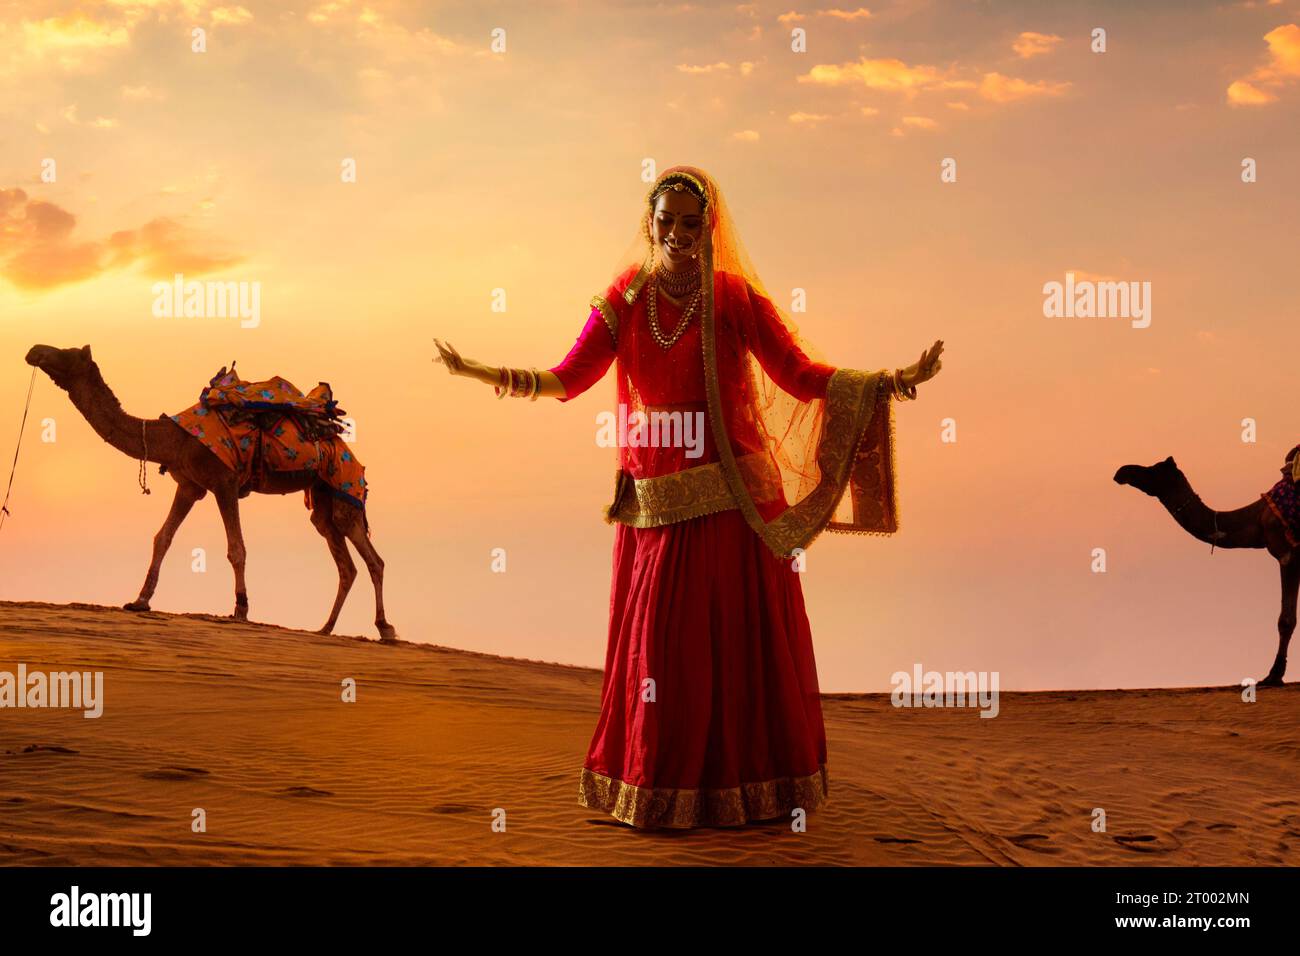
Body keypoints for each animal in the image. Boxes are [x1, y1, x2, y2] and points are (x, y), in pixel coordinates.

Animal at [22, 343, 392, 642]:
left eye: (67, 353)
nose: (34, 350)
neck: (172, 438)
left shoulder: (224, 482)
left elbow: (236, 548)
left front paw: (241, 610)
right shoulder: (190, 485)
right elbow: (162, 538)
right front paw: (139, 601)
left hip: (345, 487)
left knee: (373, 558)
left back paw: (385, 628)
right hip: (322, 497)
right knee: (345, 561)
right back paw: (325, 628)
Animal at [1112, 457, 1294, 686]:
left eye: (1154, 469)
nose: (1122, 472)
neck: (1258, 517)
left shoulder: (1286, 552)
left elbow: (1286, 619)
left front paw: (1274, 675)